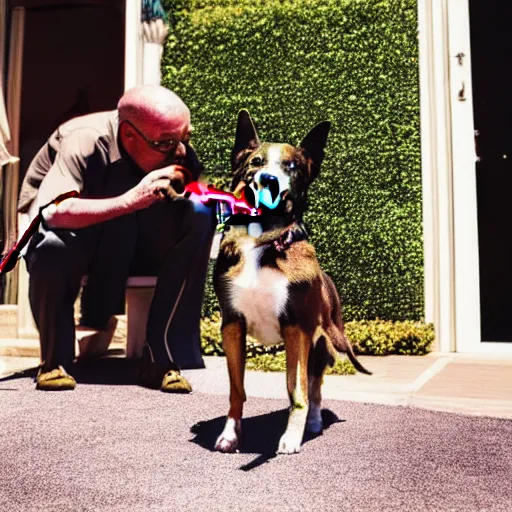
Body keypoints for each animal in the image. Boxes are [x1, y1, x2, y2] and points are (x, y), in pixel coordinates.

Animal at [214, 110, 370, 454]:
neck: (263, 240)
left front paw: (291, 436)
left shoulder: (297, 327)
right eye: (256, 161)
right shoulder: (232, 324)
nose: (268, 179)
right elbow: (236, 388)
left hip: (325, 338)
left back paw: (313, 421)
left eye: (293, 165)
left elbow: (296, 389)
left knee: (314, 385)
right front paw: (230, 433)